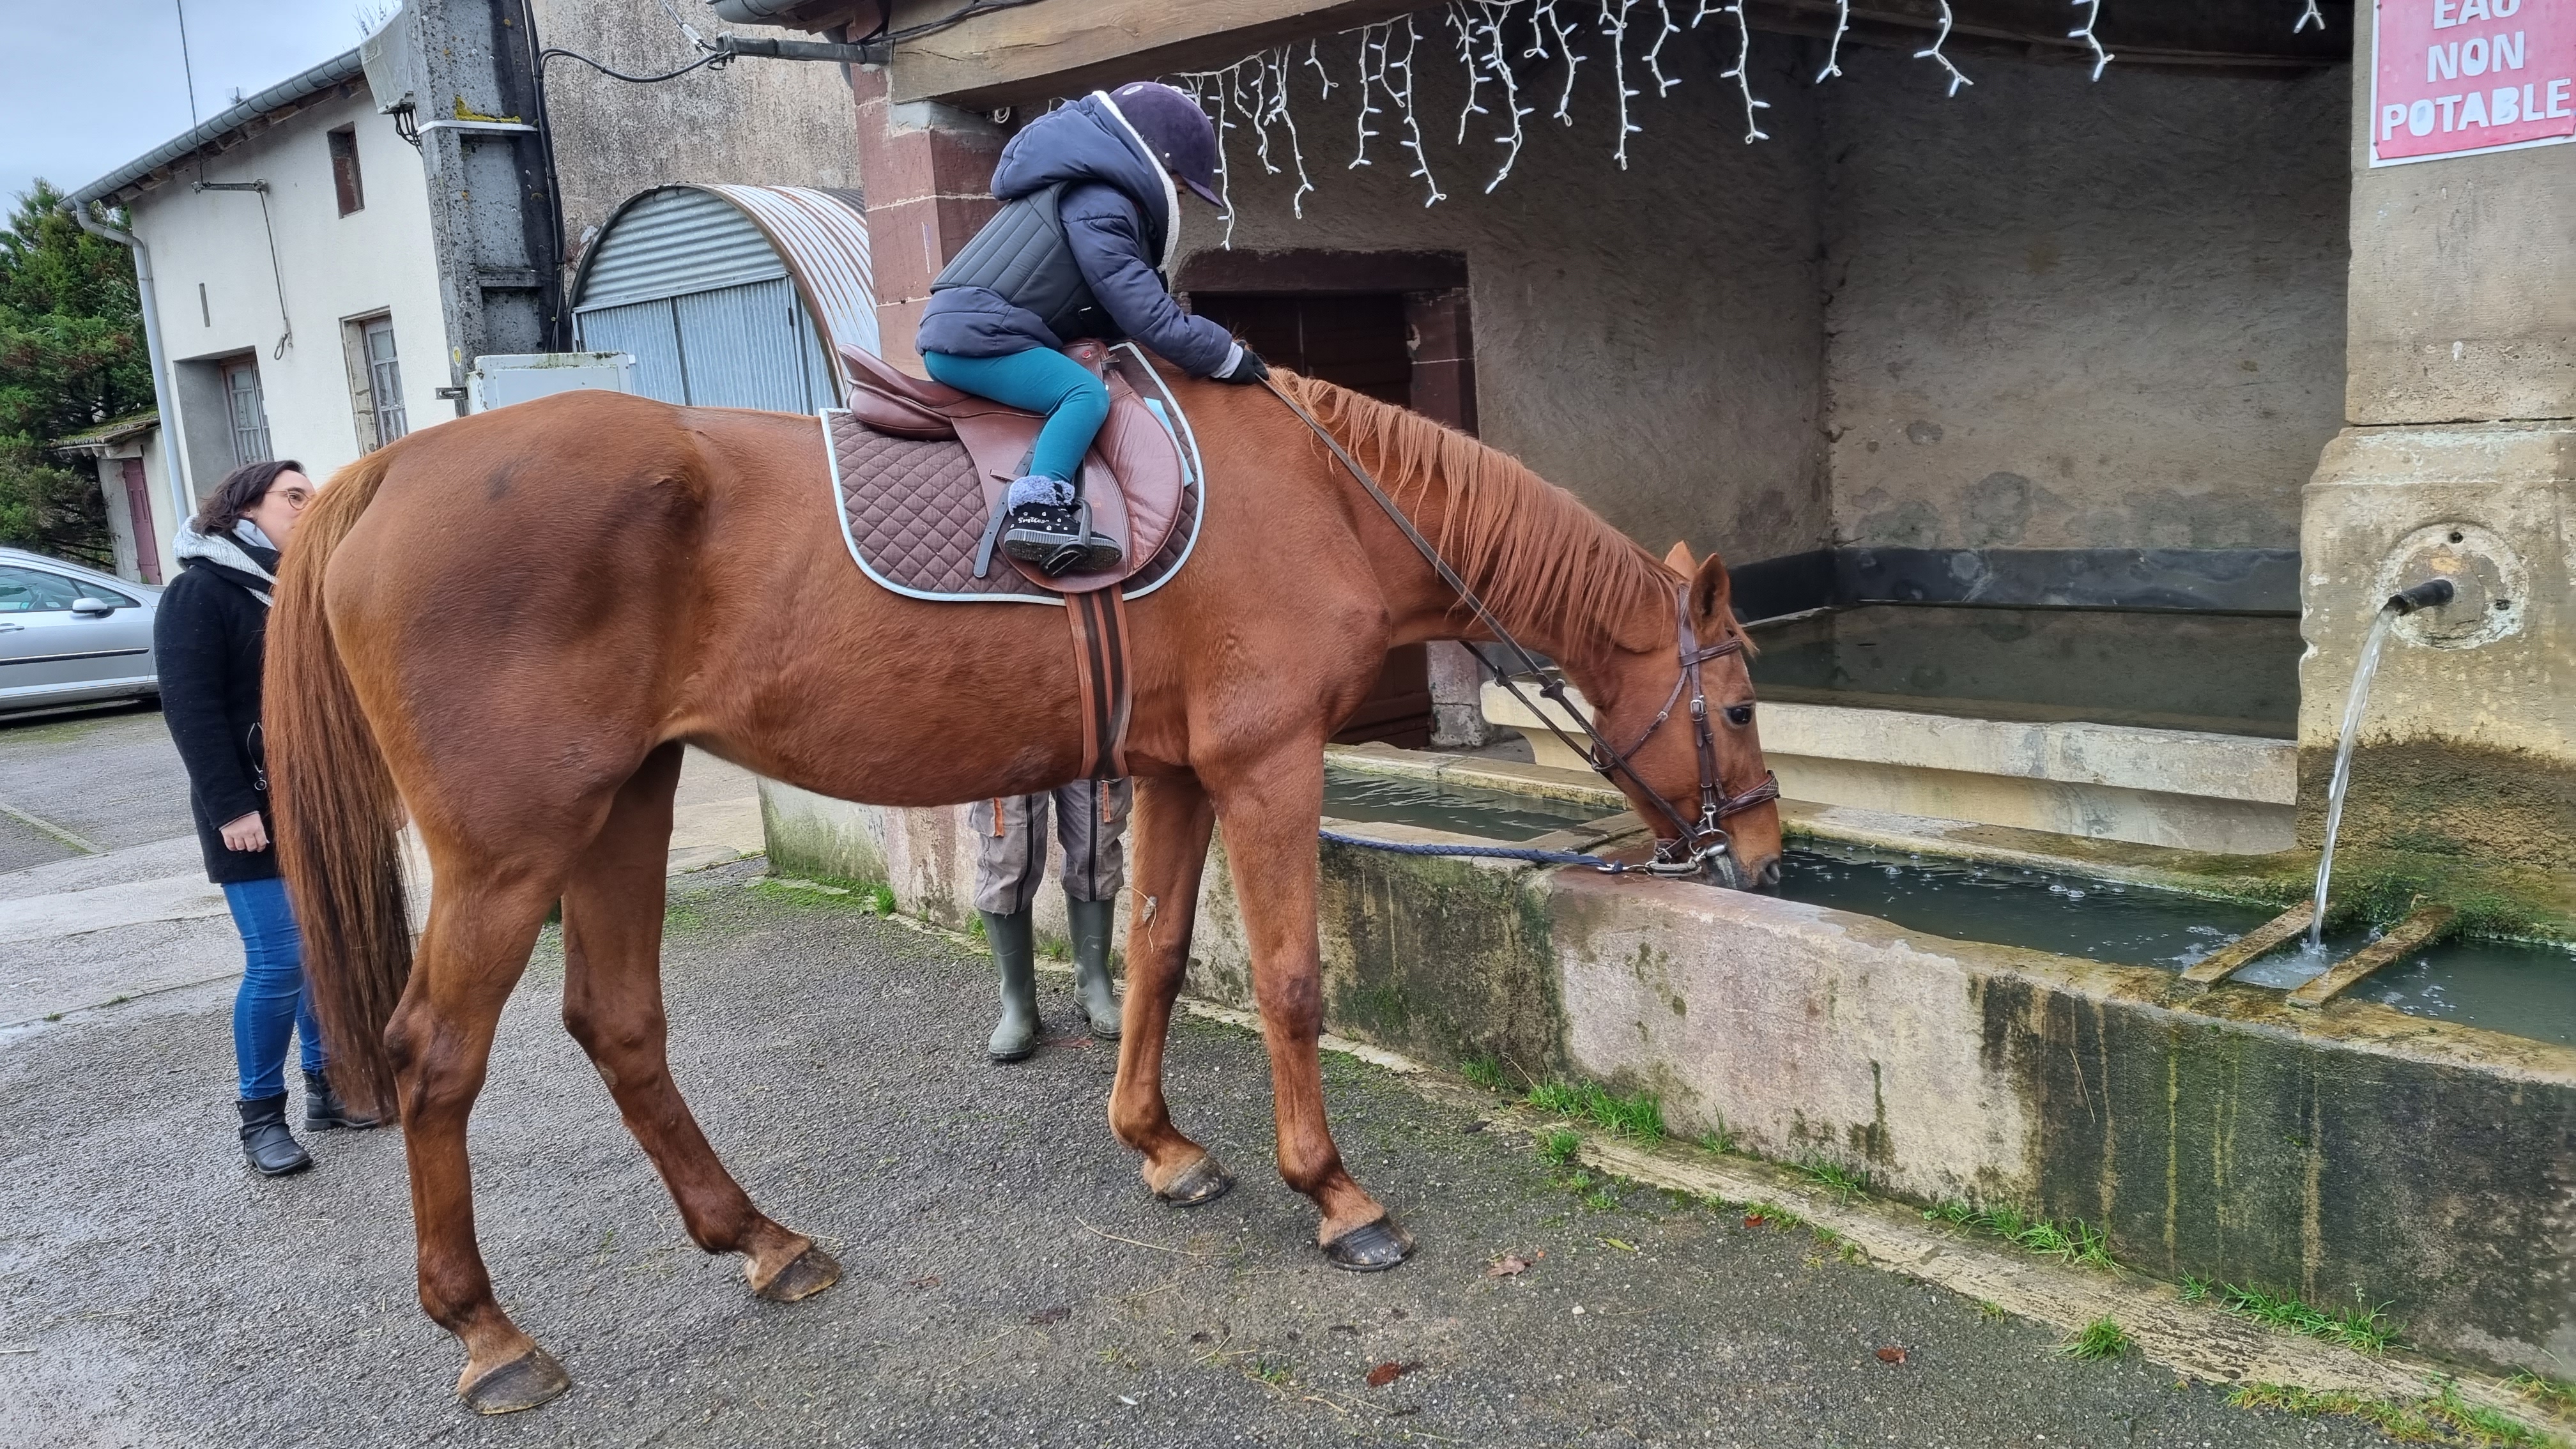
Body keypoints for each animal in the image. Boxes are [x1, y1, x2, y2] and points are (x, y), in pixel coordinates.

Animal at [267, 371, 1782, 1413]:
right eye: (1743, 706)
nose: (1763, 853)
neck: (1330, 497)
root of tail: (388, 470)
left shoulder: (1172, 775)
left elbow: (1157, 956)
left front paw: (1163, 1146)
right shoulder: (1268, 766)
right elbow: (1288, 979)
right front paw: (1337, 1193)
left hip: (623, 807)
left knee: (619, 1024)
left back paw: (760, 1239)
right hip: (509, 852)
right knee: (435, 1058)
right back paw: (489, 1332)